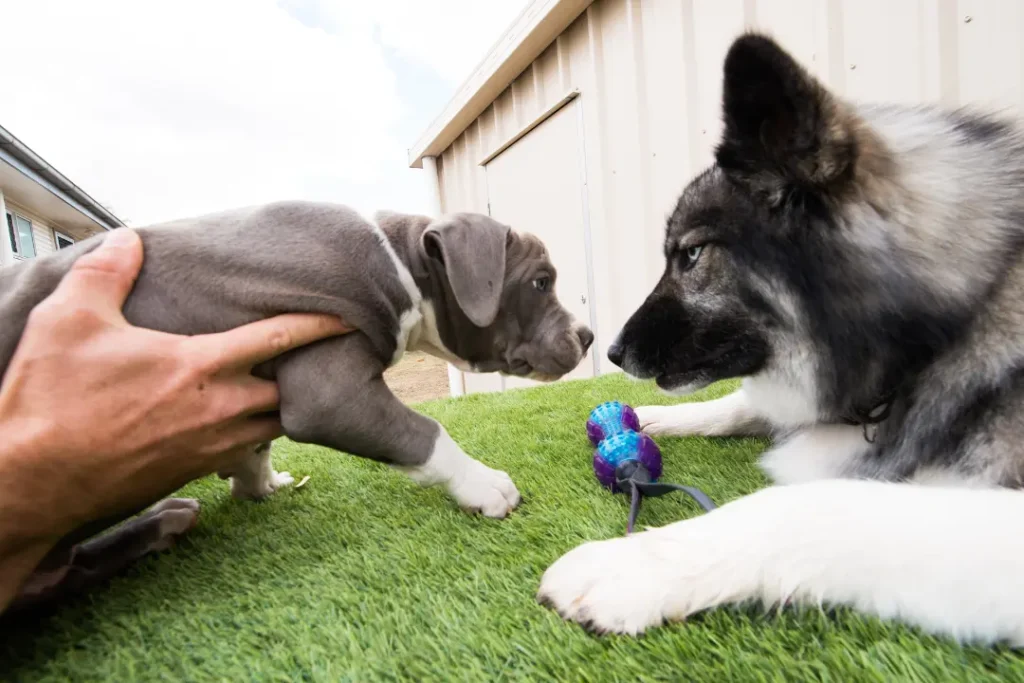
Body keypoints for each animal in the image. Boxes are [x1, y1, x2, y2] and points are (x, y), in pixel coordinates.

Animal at [2, 201, 593, 610]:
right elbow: (426, 431)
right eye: (541, 282)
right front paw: (484, 483)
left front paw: (260, 484)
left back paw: (160, 525)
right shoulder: (327, 391)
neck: (400, 263)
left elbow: (256, 444)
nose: (587, 336)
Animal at [544, 34, 1024, 647]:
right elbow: (737, 405)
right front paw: (649, 419)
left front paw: (629, 565)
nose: (610, 351)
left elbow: (816, 505)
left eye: (691, 255)